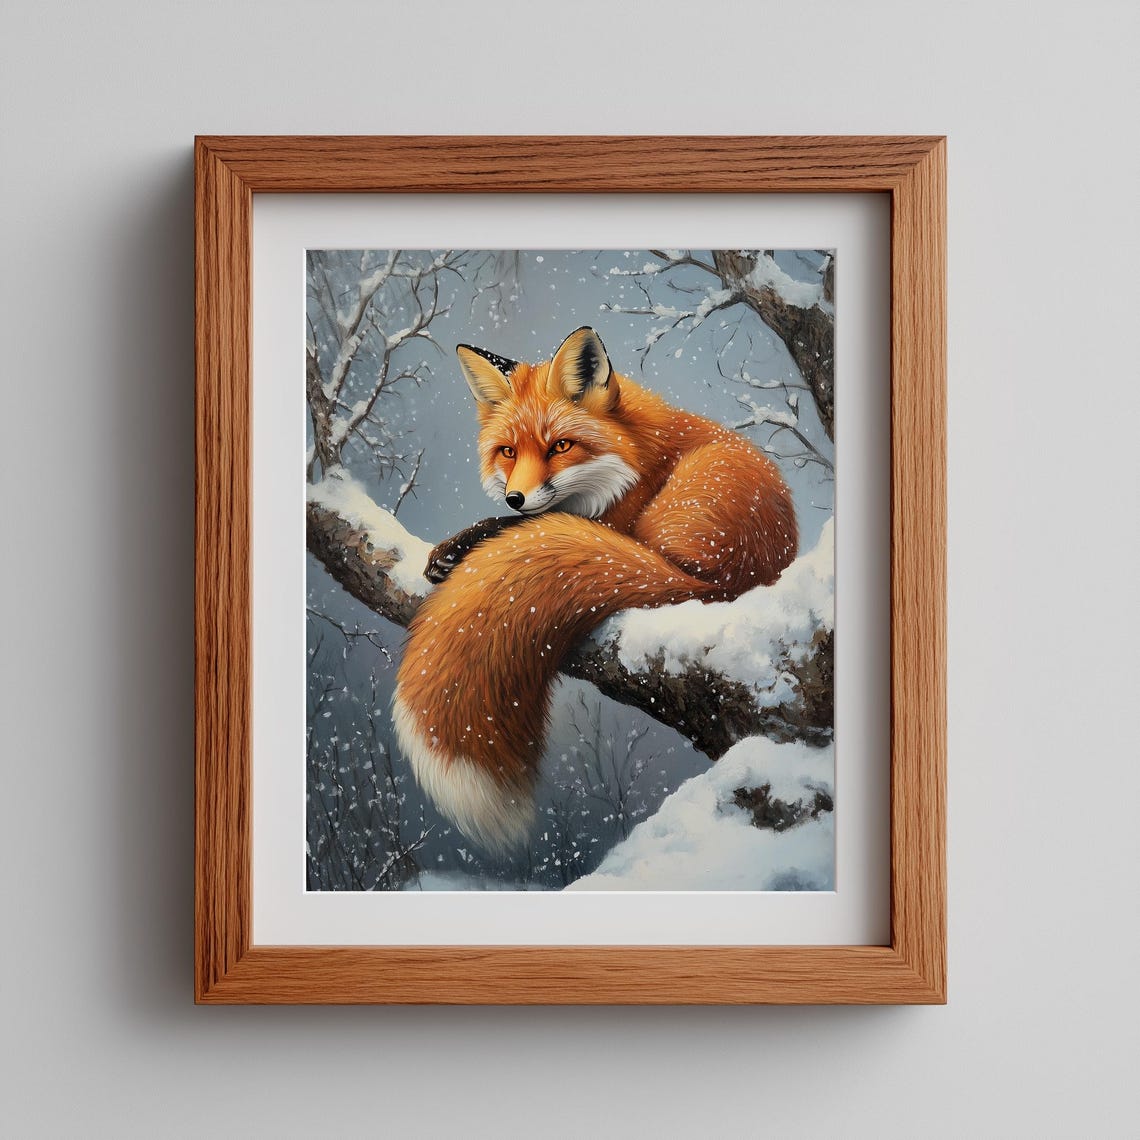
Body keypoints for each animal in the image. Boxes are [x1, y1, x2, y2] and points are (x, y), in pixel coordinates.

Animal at [393, 326, 797, 853]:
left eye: (561, 446)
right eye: (508, 452)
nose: (515, 497)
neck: (638, 460)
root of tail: (719, 583)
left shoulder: (613, 522)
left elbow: (518, 525)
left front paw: (467, 543)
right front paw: (457, 546)